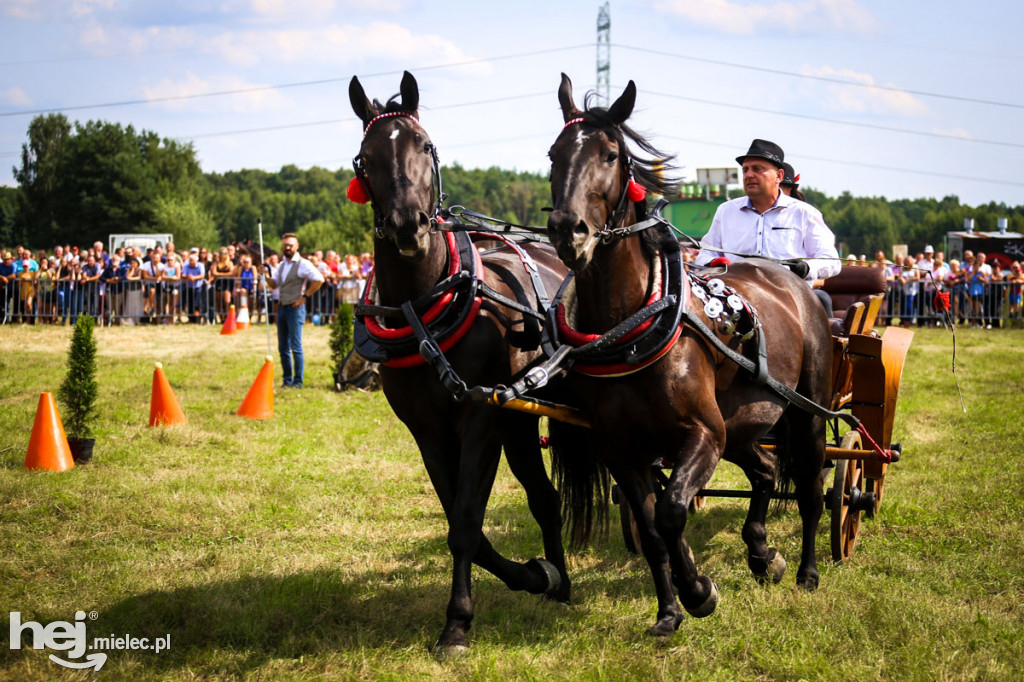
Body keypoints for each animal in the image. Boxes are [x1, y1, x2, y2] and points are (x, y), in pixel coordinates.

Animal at [348, 70, 581, 655]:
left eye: (423, 145)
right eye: (366, 156)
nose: (408, 226)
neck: (427, 308)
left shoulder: (479, 419)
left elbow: (467, 522)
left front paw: (457, 622)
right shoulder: (427, 430)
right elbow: (462, 523)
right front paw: (531, 574)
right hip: (520, 419)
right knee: (544, 498)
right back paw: (559, 583)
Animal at [548, 75, 827, 638]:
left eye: (610, 154)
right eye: (553, 153)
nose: (569, 231)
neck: (632, 325)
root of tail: (789, 274)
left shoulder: (702, 433)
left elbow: (673, 511)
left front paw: (699, 591)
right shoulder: (620, 448)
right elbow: (652, 527)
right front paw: (669, 610)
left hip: (803, 411)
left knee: (809, 487)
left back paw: (806, 570)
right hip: (742, 422)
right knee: (766, 470)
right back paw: (763, 553)